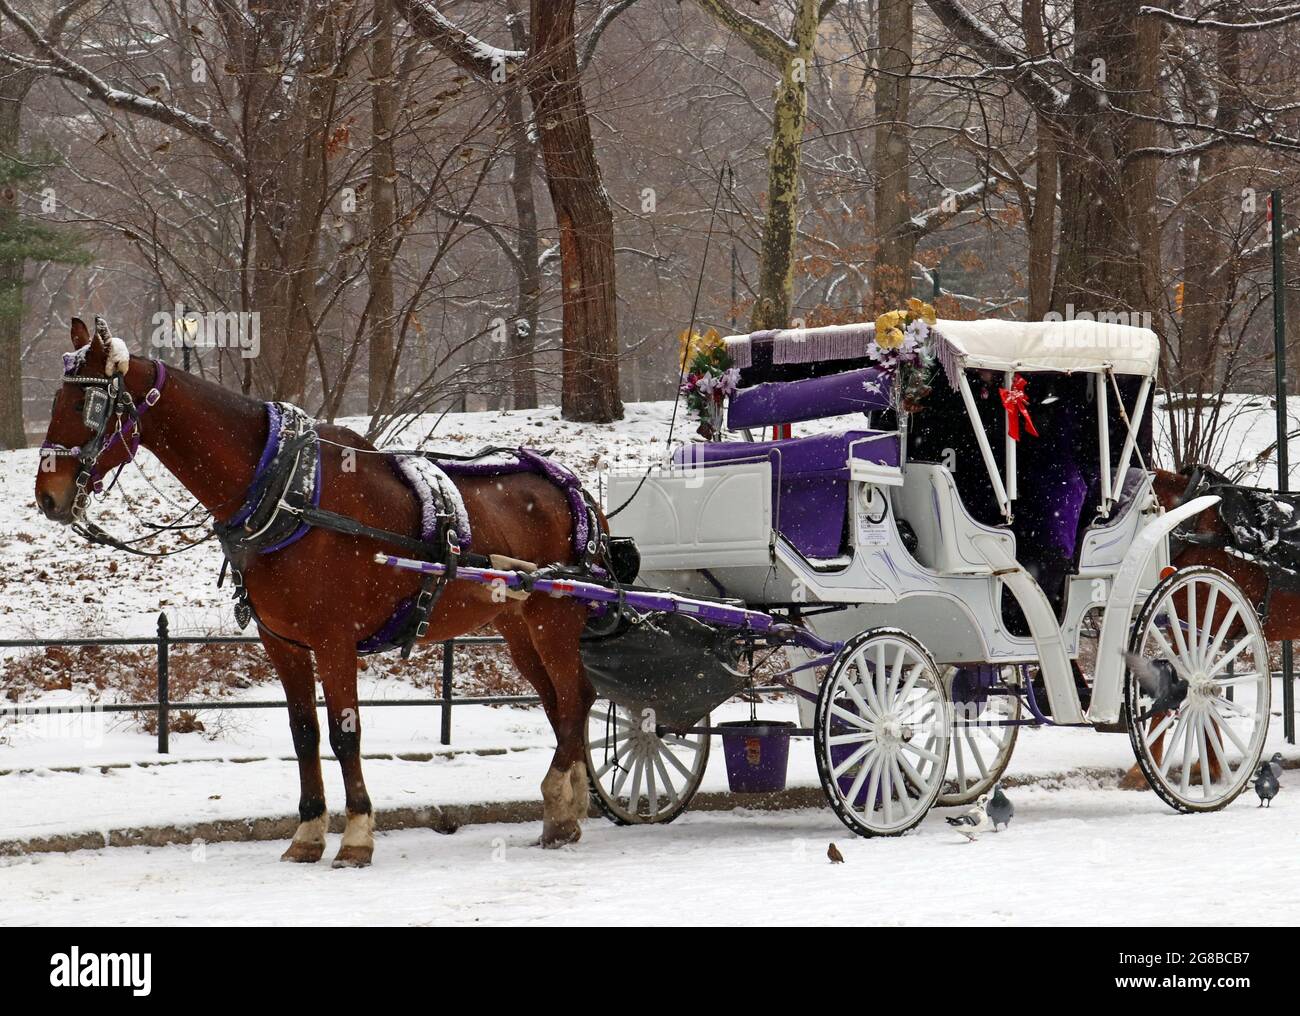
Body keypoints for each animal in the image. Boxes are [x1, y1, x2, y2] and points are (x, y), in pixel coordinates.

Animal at [35, 318, 598, 866]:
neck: (289, 491)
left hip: (554, 619)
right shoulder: (282, 642)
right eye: (56, 401)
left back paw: (559, 801)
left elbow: (345, 733)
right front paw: (307, 832)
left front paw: (357, 836)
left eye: (87, 406)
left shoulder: (334, 640)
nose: (47, 497)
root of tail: (570, 486)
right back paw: (573, 801)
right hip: (517, 626)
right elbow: (304, 732)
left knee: (576, 699)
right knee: (561, 702)